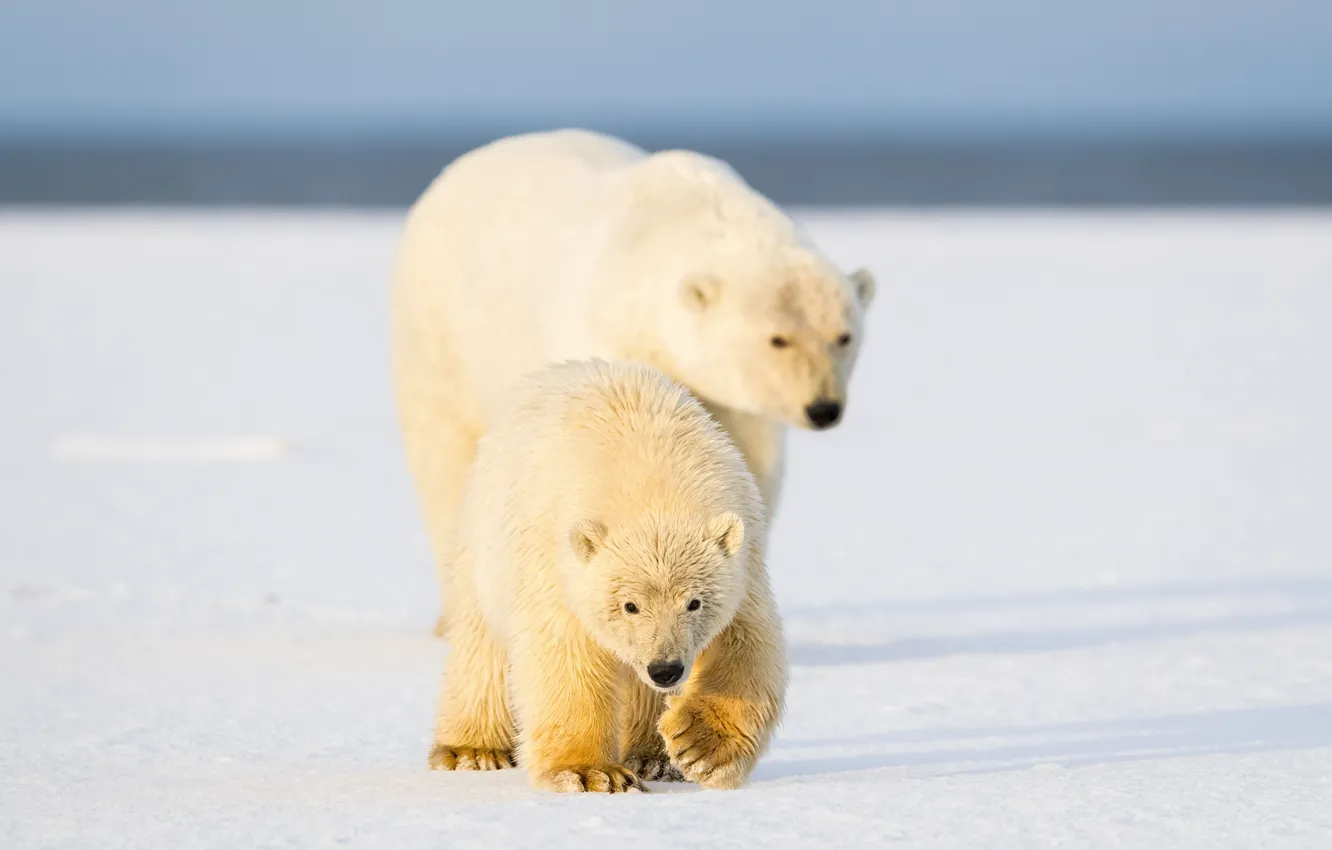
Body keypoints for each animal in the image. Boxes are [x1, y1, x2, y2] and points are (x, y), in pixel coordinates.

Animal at [390, 128, 876, 633]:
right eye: (778, 339)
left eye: (843, 336)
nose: (823, 408)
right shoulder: (611, 342)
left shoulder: (734, 408)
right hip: (439, 336)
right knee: (444, 463)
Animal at [427, 359, 787, 793]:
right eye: (629, 605)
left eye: (695, 602)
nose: (665, 669)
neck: (653, 480)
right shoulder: (555, 560)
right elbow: (567, 657)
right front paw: (591, 773)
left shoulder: (745, 558)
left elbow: (746, 642)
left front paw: (698, 747)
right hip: (483, 546)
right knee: (481, 648)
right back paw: (472, 750)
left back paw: (653, 758)